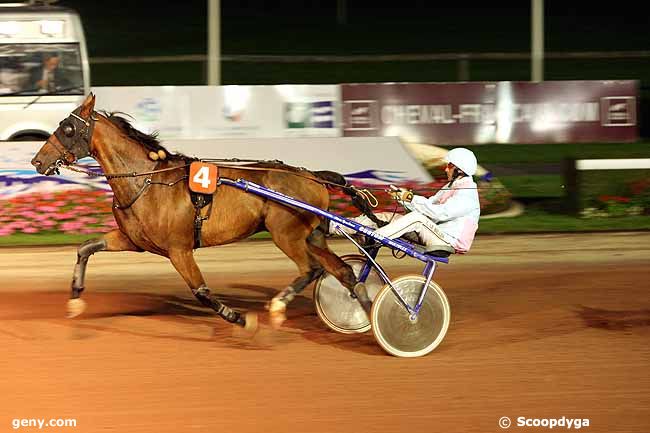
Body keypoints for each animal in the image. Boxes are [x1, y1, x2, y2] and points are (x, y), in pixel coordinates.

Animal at [31, 93, 360, 330]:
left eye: (67, 128)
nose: (37, 160)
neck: (146, 180)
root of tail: (312, 176)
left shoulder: (179, 249)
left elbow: (201, 291)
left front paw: (240, 318)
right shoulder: (133, 240)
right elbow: (86, 248)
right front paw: (75, 298)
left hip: (286, 234)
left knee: (311, 269)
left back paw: (279, 306)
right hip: (311, 236)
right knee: (343, 271)